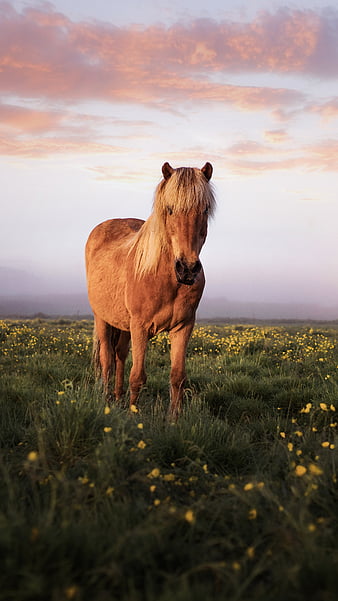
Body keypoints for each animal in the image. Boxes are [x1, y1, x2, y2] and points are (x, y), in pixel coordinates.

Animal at [86, 162, 215, 420]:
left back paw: (118, 397)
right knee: (107, 359)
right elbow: (138, 377)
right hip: (102, 319)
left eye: (205, 209)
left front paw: (173, 420)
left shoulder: (183, 327)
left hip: (124, 325)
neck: (166, 279)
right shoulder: (140, 327)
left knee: (119, 354)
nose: (187, 269)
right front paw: (133, 417)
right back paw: (106, 400)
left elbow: (177, 377)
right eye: (170, 209)